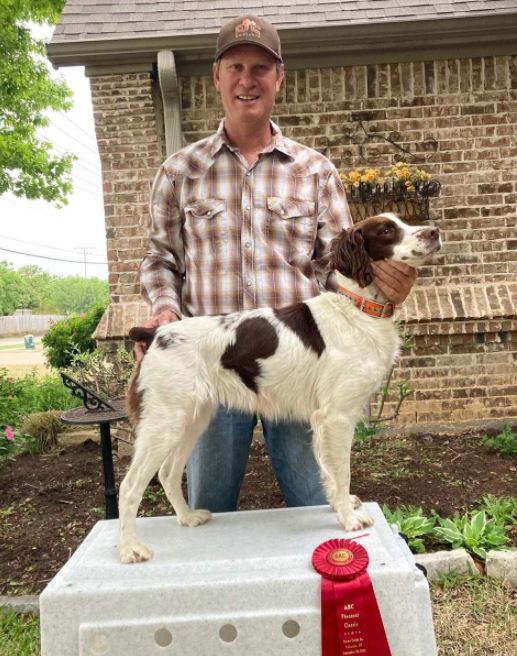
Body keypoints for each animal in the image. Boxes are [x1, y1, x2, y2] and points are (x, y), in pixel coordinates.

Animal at [120, 213, 440, 560]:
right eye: (386, 230)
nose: (435, 232)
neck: (356, 308)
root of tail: (155, 334)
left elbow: (330, 474)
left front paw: (342, 506)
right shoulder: (336, 417)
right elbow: (341, 472)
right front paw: (349, 518)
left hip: (192, 419)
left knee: (167, 472)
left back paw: (187, 517)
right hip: (164, 422)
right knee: (130, 485)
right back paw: (130, 548)